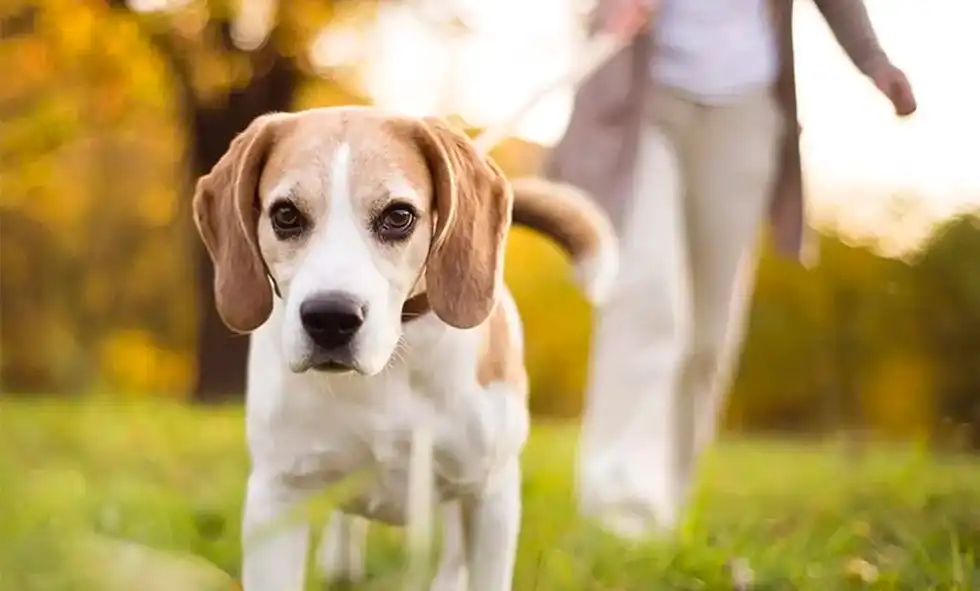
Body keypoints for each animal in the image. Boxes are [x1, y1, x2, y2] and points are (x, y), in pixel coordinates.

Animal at [192, 107, 616, 591]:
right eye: (285, 214)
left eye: (398, 216)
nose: (330, 318)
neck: (391, 365)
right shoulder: (276, 496)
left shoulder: (491, 495)